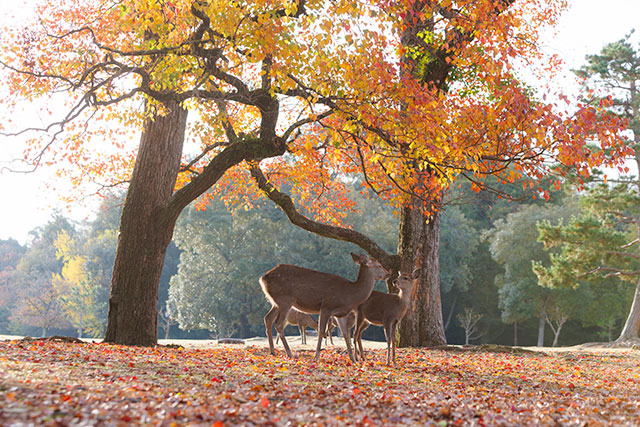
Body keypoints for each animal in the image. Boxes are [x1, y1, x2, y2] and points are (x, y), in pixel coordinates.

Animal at [259, 253, 389, 362]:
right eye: (379, 265)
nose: (388, 274)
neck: (349, 295)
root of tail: (263, 278)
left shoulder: (340, 314)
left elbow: (345, 334)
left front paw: (353, 359)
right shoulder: (326, 306)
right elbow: (321, 330)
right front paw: (317, 357)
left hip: (276, 302)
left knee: (267, 318)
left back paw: (272, 352)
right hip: (285, 299)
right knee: (278, 323)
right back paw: (290, 353)